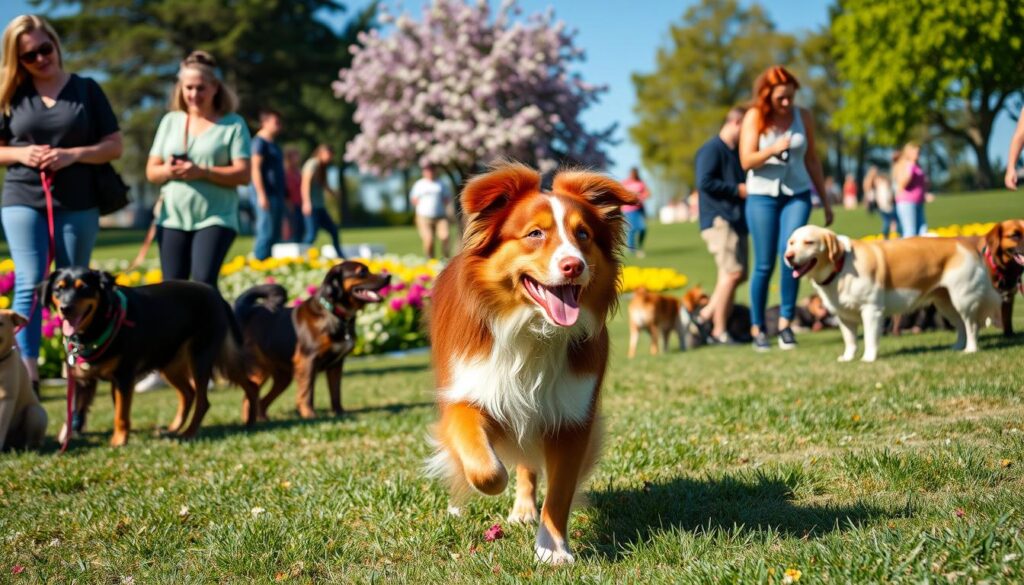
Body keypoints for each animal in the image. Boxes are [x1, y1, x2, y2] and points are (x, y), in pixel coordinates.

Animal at [43, 268, 253, 446]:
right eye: (58, 289)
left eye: (84, 288)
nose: (65, 308)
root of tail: (215, 293)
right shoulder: (83, 380)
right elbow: (75, 410)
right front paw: (66, 438)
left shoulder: (124, 377)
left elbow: (121, 414)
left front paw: (119, 441)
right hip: (171, 362)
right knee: (192, 393)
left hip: (201, 357)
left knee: (205, 401)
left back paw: (190, 432)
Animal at [234, 262, 389, 422]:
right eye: (362, 272)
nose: (388, 276)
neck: (334, 314)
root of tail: (248, 312)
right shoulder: (307, 361)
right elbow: (307, 392)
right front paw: (309, 415)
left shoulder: (336, 365)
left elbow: (336, 393)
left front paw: (339, 413)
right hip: (258, 371)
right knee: (247, 398)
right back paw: (250, 421)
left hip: (283, 377)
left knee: (262, 400)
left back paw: (263, 419)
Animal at [782, 224, 999, 362]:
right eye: (791, 243)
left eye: (808, 242)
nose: (788, 256)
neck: (841, 267)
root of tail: (968, 245)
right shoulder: (844, 316)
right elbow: (850, 340)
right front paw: (848, 358)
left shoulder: (871, 310)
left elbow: (869, 337)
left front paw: (868, 358)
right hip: (945, 303)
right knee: (961, 326)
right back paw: (957, 347)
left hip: (963, 300)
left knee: (972, 326)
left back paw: (970, 349)